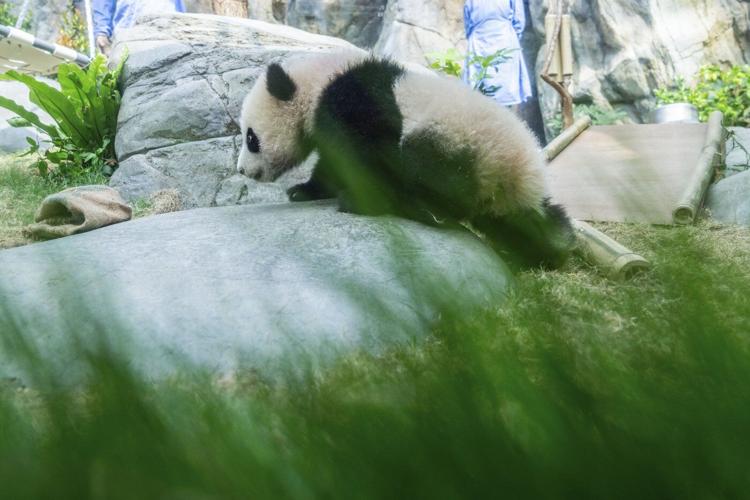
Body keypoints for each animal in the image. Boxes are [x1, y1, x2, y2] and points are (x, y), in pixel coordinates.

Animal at [236, 50, 575, 269]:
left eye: (250, 138)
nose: (242, 170)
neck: (317, 82)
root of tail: (521, 174)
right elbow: (334, 163)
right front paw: (305, 190)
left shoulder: (354, 100)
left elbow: (365, 154)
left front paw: (358, 199)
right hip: (508, 197)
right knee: (530, 224)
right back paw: (550, 249)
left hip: (460, 142)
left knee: (428, 170)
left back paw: (418, 208)